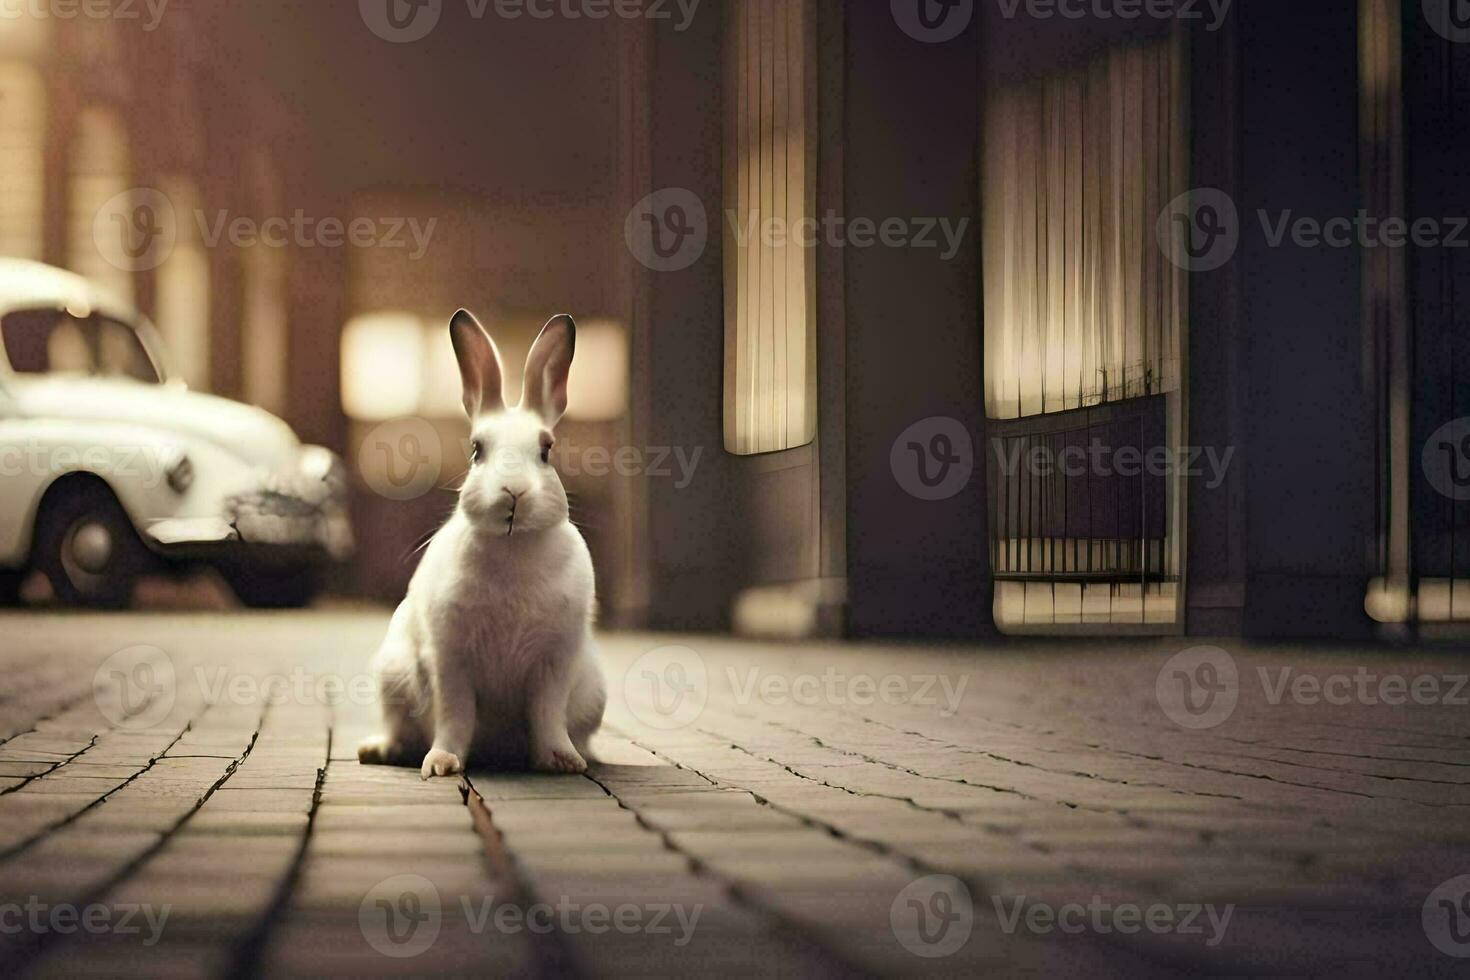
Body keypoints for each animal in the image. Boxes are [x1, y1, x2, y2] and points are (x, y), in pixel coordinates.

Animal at [358, 310, 605, 775]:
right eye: (477, 450)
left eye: (546, 450)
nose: (513, 492)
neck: (512, 547)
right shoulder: (450, 658)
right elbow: (455, 715)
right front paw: (442, 763)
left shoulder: (554, 662)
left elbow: (547, 714)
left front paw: (563, 760)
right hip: (392, 679)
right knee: (400, 730)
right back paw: (377, 750)